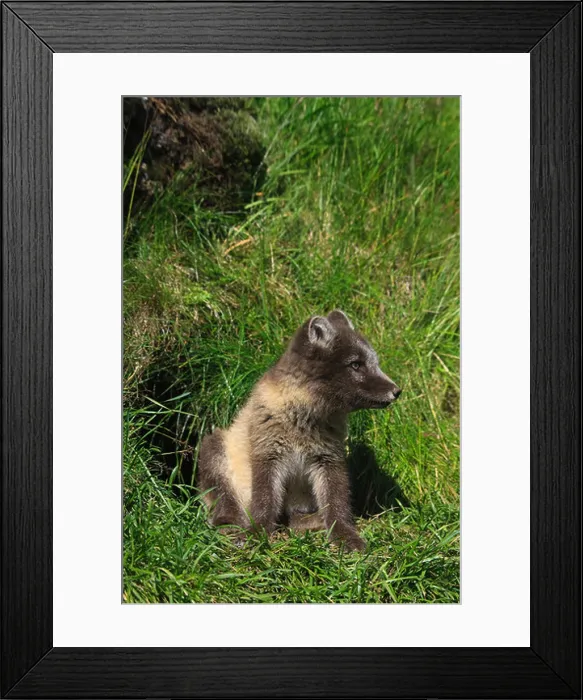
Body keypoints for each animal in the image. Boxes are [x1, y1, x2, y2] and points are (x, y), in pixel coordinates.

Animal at [197, 310, 401, 552]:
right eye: (355, 365)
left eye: (374, 362)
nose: (397, 391)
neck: (303, 417)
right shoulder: (267, 454)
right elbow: (265, 500)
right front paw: (256, 533)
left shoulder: (329, 458)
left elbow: (337, 503)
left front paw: (344, 535)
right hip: (212, 448)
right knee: (224, 499)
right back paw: (228, 523)